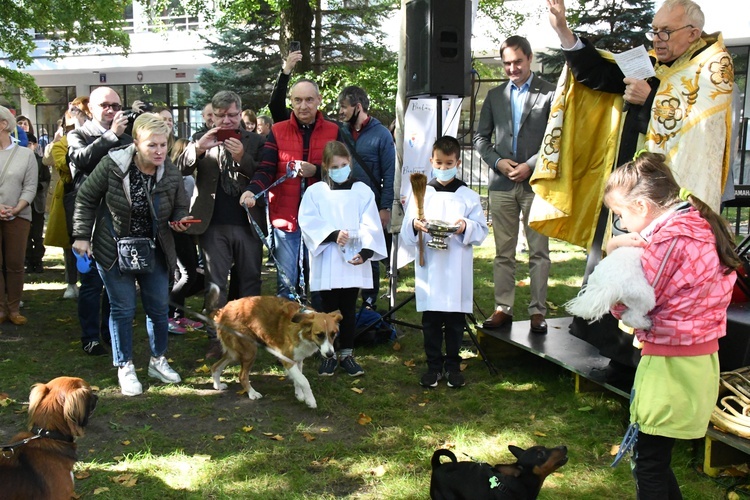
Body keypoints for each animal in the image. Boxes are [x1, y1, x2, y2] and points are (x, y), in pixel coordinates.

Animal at [209, 288, 344, 408]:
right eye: (319, 335)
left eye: (333, 334)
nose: (330, 355)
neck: (301, 329)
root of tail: (222, 310)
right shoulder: (287, 359)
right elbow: (304, 380)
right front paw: (310, 400)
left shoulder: (298, 358)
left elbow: (298, 379)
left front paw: (300, 395)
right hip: (249, 351)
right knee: (242, 375)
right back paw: (252, 393)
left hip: (235, 352)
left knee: (215, 366)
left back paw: (218, 385)